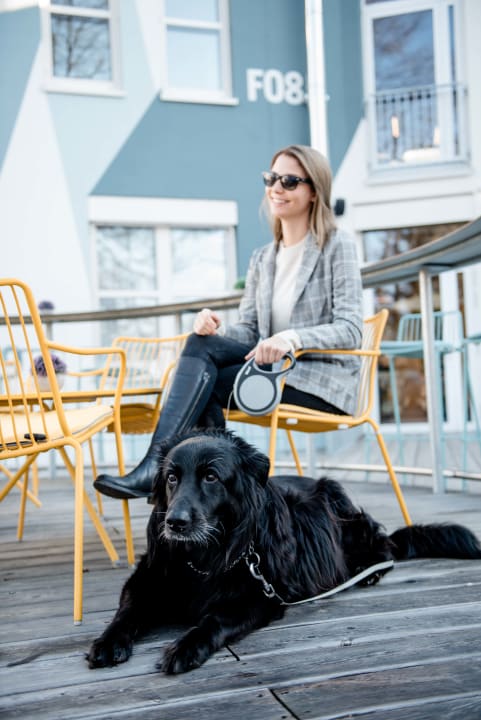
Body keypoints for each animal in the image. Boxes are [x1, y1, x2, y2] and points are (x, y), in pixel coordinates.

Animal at [87, 429, 481, 674]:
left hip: (338, 499)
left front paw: (186, 648)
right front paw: (108, 642)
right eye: (171, 477)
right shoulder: (146, 581)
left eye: (211, 477)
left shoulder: (260, 596)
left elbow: (215, 619)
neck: (202, 558)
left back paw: (369, 572)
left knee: (384, 546)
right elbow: (127, 611)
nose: (175, 523)